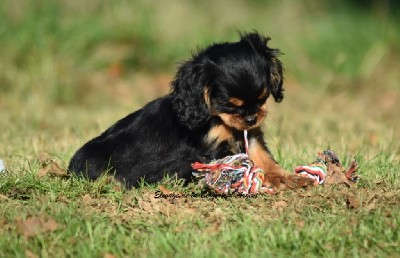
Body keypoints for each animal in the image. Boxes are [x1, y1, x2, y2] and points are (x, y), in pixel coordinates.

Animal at [68, 31, 312, 189]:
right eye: (228, 104)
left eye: (262, 99)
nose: (252, 118)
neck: (216, 118)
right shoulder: (213, 150)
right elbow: (245, 166)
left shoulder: (250, 138)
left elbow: (264, 159)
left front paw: (287, 177)